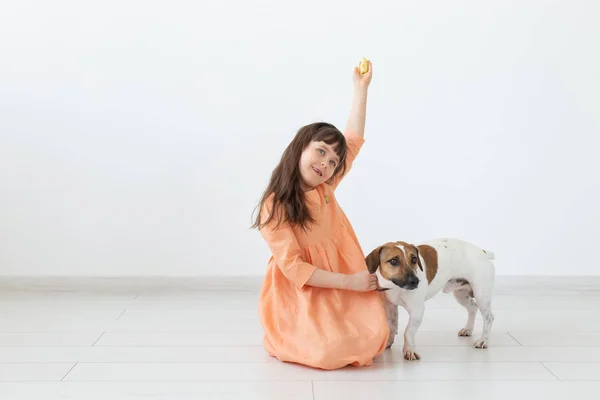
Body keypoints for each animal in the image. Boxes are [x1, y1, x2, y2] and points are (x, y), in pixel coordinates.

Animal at [366, 239, 496, 360]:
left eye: (414, 259)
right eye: (393, 261)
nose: (415, 281)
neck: (395, 287)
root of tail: (483, 252)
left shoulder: (417, 311)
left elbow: (408, 331)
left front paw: (409, 350)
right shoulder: (390, 306)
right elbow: (392, 326)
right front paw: (388, 342)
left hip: (481, 296)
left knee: (489, 317)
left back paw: (483, 340)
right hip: (461, 295)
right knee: (473, 308)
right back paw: (468, 329)